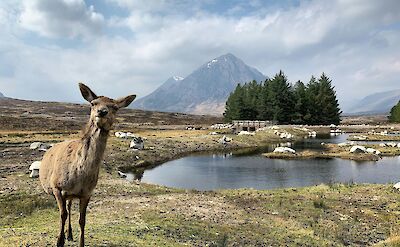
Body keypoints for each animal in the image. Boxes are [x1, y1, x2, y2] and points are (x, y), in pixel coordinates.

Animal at [39, 83, 136, 247]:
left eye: (115, 107)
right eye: (93, 103)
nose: (102, 112)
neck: (79, 175)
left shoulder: (87, 193)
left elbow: (82, 220)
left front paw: (79, 242)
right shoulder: (56, 187)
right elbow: (62, 214)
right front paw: (59, 241)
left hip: (71, 195)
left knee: (70, 206)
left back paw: (70, 234)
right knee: (66, 210)